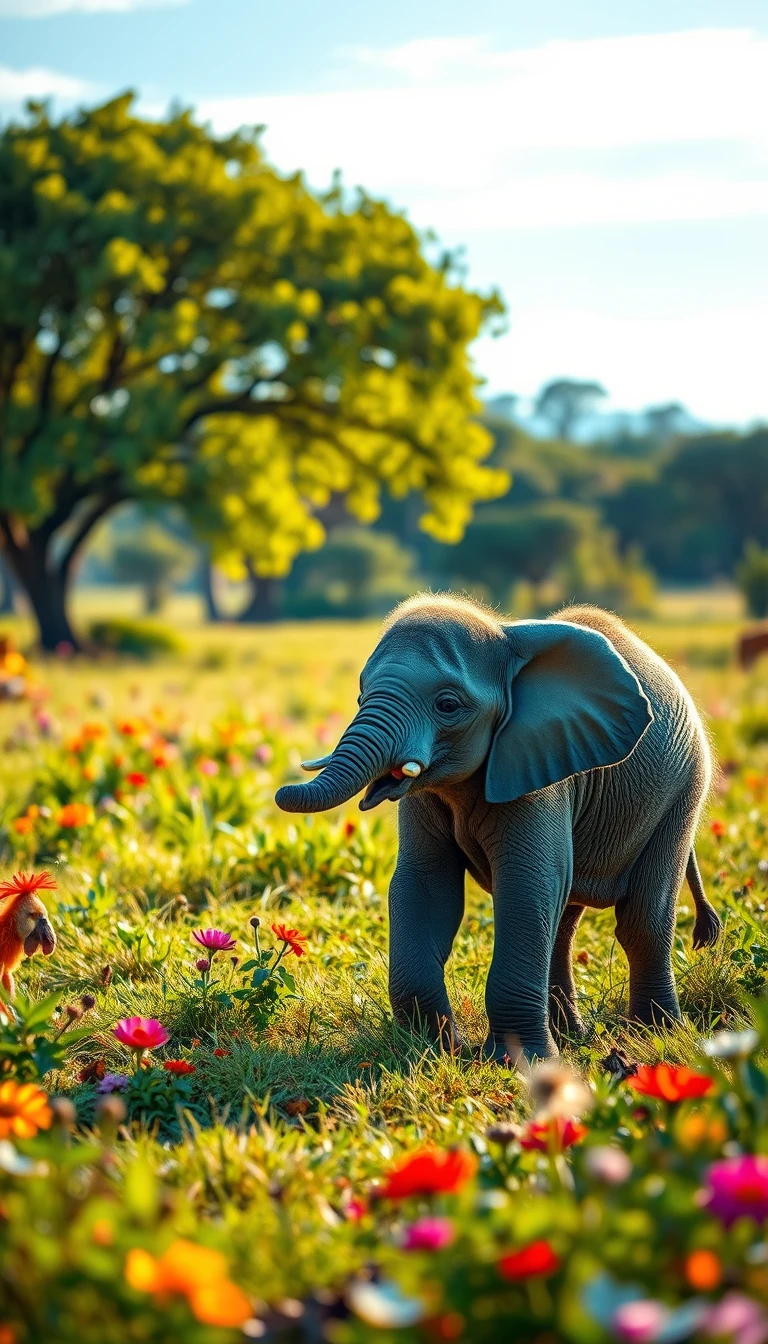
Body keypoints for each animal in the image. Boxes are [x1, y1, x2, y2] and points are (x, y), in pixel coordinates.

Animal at [276, 594, 722, 1061]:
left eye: (448, 705)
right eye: (361, 695)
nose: (282, 790)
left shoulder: (539, 771)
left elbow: (526, 885)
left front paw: (517, 1062)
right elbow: (425, 884)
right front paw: (435, 1052)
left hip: (684, 788)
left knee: (640, 919)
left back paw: (653, 1035)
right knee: (561, 920)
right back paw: (573, 1037)